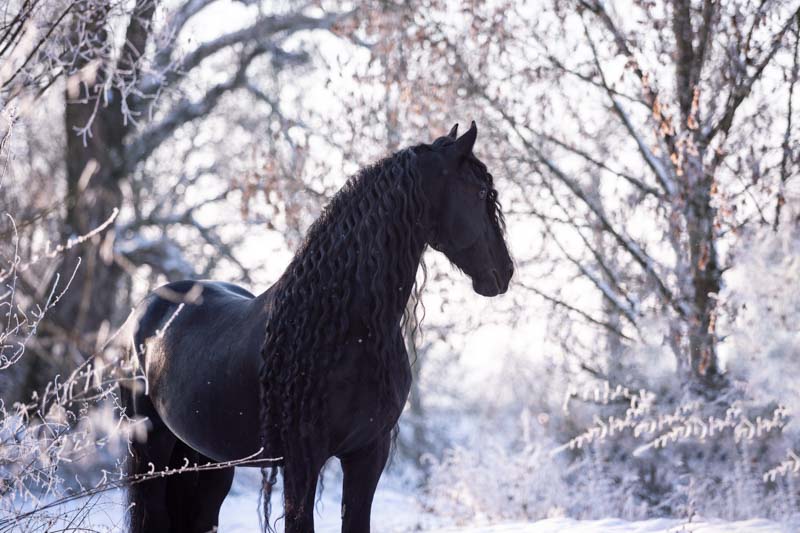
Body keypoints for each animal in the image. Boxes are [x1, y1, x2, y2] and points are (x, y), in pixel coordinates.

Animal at [123, 121, 512, 532]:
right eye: (481, 192)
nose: (504, 272)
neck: (341, 328)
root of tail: (146, 309)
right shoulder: (301, 462)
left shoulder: (368, 454)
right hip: (151, 451)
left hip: (205, 460)